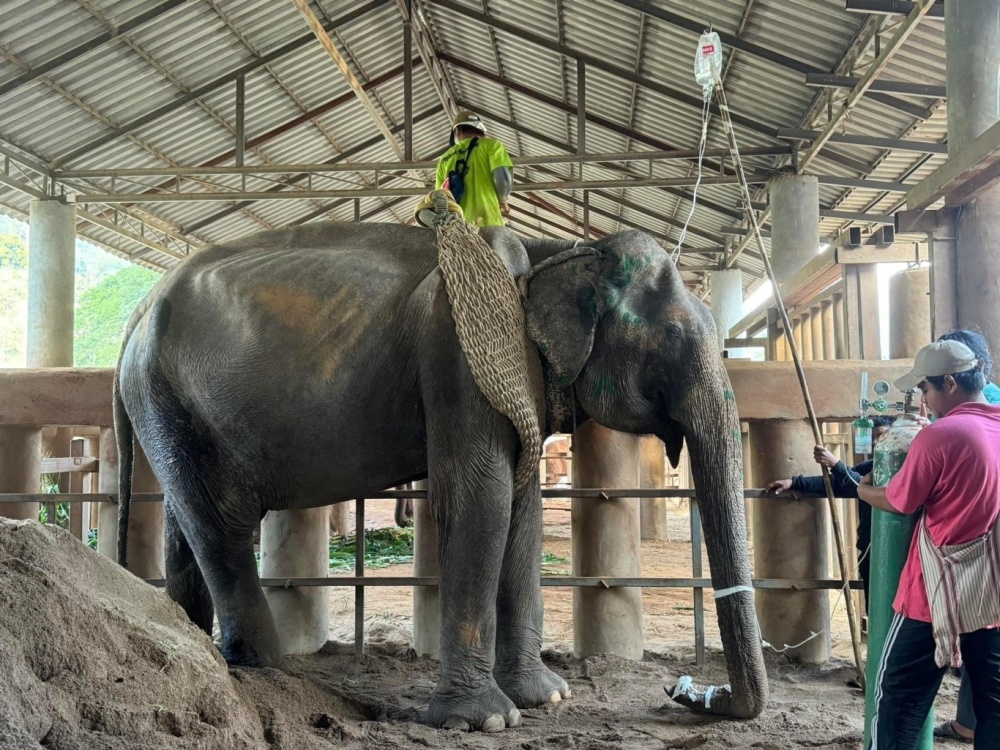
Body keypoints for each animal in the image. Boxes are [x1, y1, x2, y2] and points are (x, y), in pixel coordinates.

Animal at [117, 222, 768, 728]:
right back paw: (268, 671)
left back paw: (194, 648)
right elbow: (481, 498)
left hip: (171, 407)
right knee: (220, 524)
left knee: (186, 522)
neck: (559, 247)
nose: (686, 690)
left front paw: (547, 699)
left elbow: (523, 511)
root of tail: (136, 313)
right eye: (675, 337)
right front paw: (485, 721)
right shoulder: (460, 352)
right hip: (164, 393)